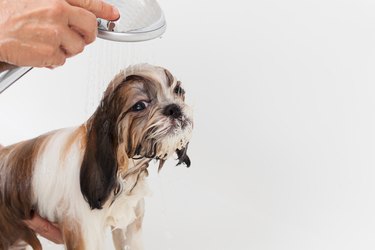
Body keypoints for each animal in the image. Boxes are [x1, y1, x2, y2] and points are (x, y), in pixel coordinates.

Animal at [0, 63, 194, 249]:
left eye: (178, 90)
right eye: (139, 105)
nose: (174, 108)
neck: (122, 169)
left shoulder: (131, 224)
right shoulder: (84, 231)